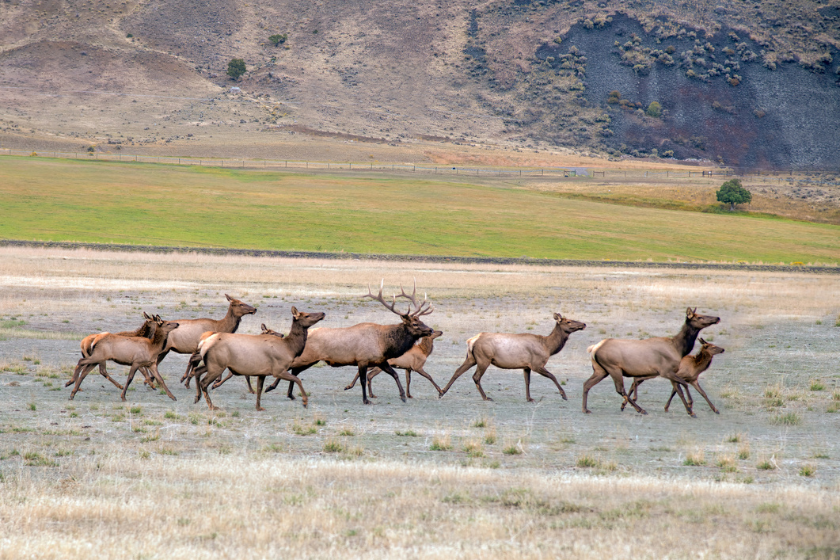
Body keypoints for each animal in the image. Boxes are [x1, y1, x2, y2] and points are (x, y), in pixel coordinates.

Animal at [193, 306, 324, 412]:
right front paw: (305, 402)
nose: (323, 313)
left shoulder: (262, 372)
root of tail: (203, 343)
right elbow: (298, 379)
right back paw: (211, 406)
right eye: (306, 315)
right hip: (217, 365)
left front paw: (259, 407)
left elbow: (260, 389)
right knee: (204, 382)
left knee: (197, 370)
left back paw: (197, 398)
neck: (290, 348)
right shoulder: (278, 370)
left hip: (212, 364)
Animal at [262, 278, 434, 402]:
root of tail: (308, 332)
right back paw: (270, 387)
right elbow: (363, 380)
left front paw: (403, 396)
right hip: (307, 356)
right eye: (414, 323)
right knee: (290, 367)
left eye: (421, 320)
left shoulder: (380, 360)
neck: (384, 344)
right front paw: (366, 400)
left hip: (310, 359)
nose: (431, 330)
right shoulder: (363, 359)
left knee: (295, 371)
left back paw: (289, 394)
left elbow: (395, 374)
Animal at [440, 312, 584, 400]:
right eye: (569, 321)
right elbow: (553, 376)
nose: (583, 324)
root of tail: (471, 340)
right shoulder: (537, 364)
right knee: (476, 377)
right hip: (483, 358)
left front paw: (529, 398)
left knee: (457, 371)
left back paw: (441, 392)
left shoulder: (526, 366)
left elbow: (527, 381)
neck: (548, 347)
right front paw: (564, 395)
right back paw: (486, 397)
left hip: (471, 358)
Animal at [580, 306, 720, 416]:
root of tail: (594, 348)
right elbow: (684, 384)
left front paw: (690, 410)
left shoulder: (672, 372)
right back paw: (640, 409)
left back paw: (585, 409)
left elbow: (679, 389)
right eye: (699, 317)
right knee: (620, 389)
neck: (678, 348)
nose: (717, 318)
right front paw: (691, 408)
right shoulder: (665, 371)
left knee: (587, 383)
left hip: (601, 369)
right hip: (613, 367)